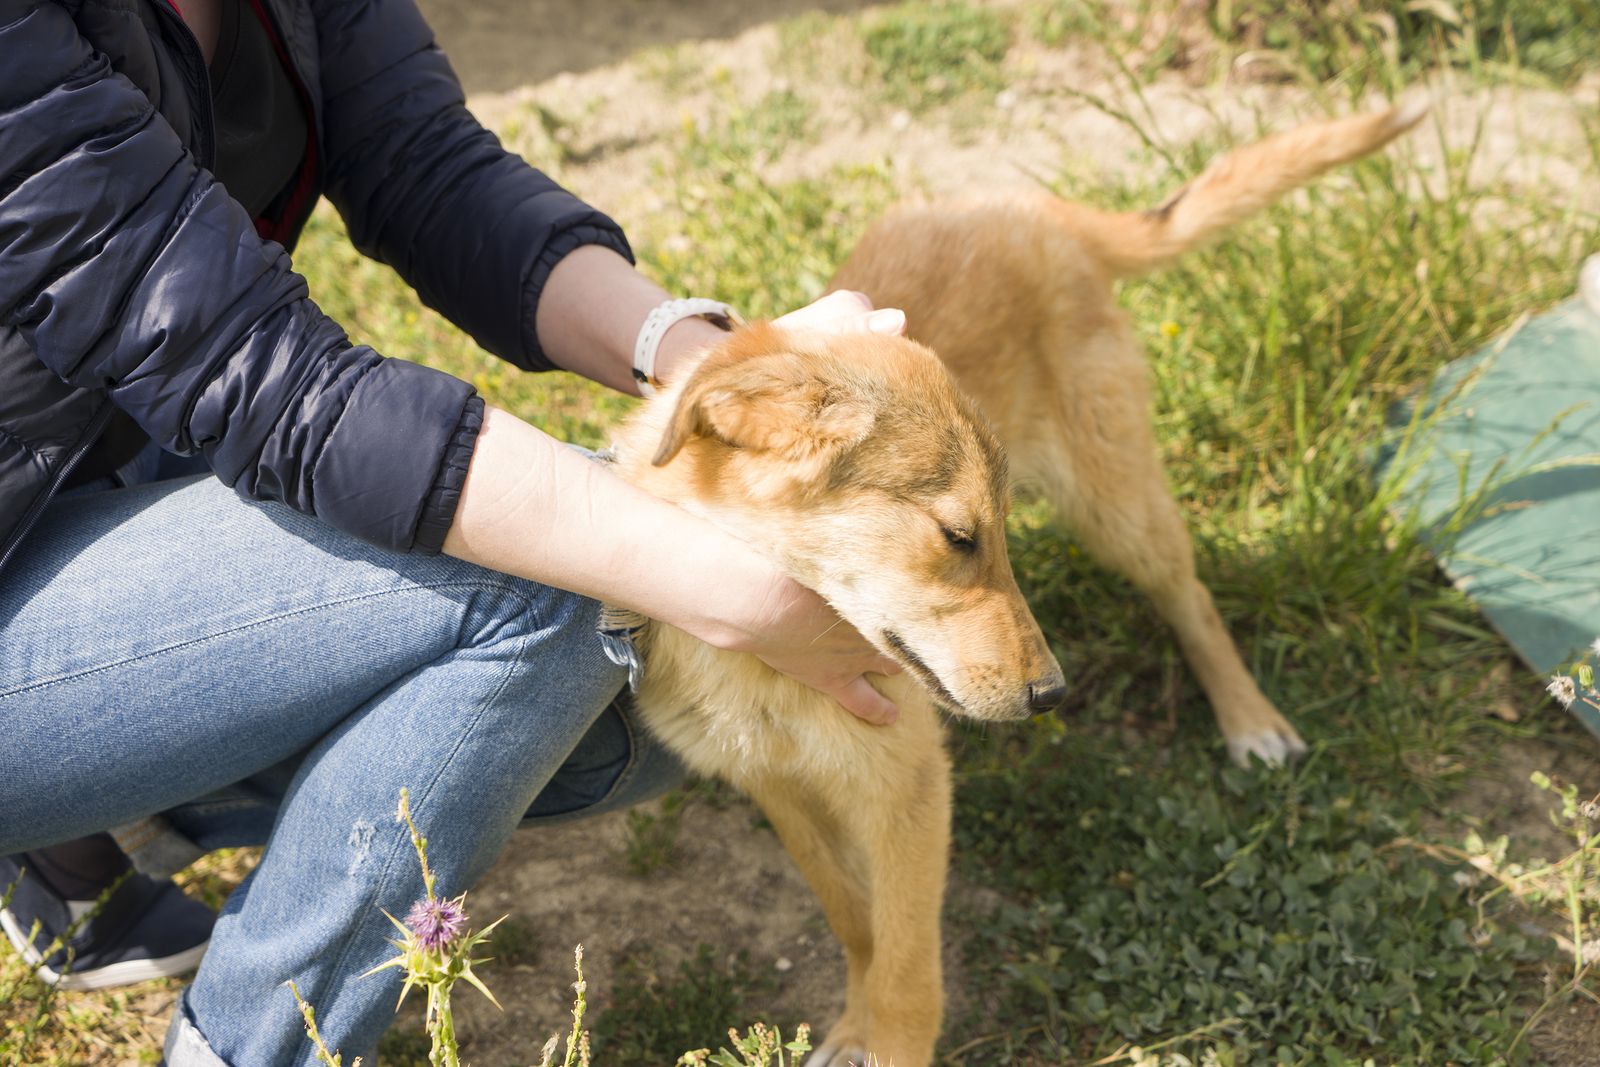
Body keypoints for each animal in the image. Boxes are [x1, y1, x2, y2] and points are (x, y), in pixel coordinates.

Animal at [604, 319, 1068, 1067]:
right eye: (958, 536)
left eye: (1001, 529)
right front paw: (855, 1030)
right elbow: (857, 923)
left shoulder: (909, 790)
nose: (1053, 694)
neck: (770, 676)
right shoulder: (777, 785)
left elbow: (906, 976)